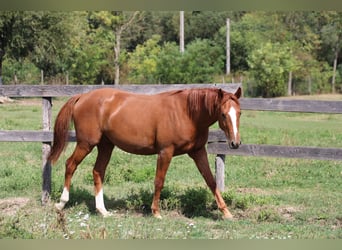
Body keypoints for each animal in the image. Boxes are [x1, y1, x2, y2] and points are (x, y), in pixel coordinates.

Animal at [48, 87, 242, 220]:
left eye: (239, 113)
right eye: (223, 114)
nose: (235, 143)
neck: (187, 113)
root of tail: (82, 96)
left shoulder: (198, 152)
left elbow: (211, 181)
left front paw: (226, 212)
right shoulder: (165, 152)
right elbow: (159, 181)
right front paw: (155, 212)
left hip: (106, 146)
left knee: (98, 171)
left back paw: (103, 211)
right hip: (86, 143)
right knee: (70, 165)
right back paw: (61, 203)